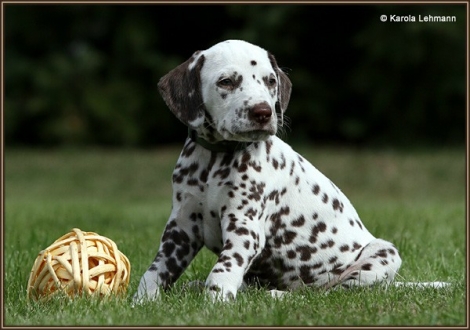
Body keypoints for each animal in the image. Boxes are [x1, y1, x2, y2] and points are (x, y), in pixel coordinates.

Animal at [134, 40, 442, 302]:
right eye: (226, 81)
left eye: (270, 81)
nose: (263, 112)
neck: (215, 157)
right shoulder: (181, 229)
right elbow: (155, 271)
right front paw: (142, 302)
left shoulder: (244, 227)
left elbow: (223, 269)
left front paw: (216, 303)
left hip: (382, 254)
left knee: (326, 294)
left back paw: (277, 295)